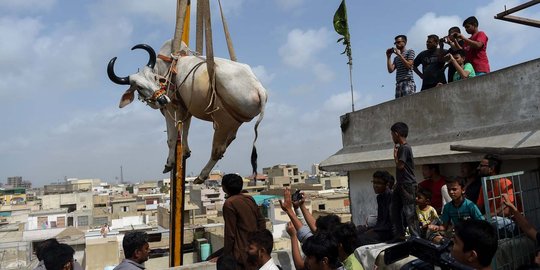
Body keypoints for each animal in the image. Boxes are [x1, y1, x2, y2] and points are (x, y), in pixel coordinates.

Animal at [106, 40, 266, 184]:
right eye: (139, 86)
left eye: (154, 77)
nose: (162, 100)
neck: (166, 70)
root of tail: (259, 89)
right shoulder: (186, 110)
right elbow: (184, 132)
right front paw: (185, 152)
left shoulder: (171, 109)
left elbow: (171, 139)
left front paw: (169, 163)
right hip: (234, 122)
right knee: (229, 141)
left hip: (223, 123)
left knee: (218, 150)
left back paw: (201, 176)